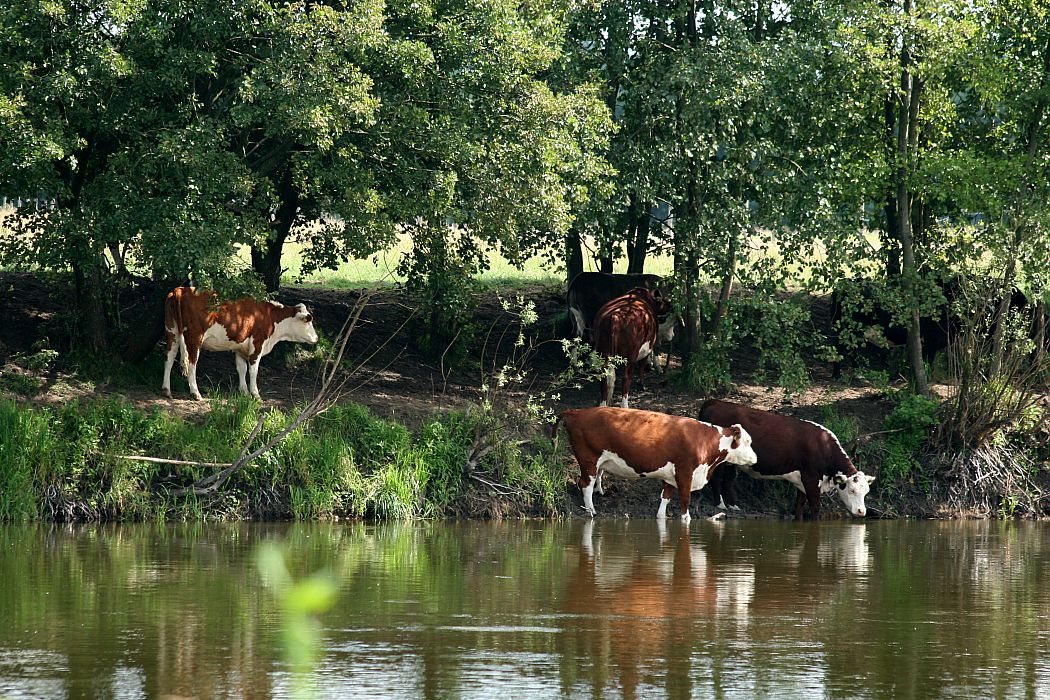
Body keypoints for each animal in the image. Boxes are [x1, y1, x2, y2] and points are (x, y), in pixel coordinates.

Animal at [161, 287, 319, 401]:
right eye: (308, 320)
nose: (316, 338)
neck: (270, 316)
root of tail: (181, 289)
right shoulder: (257, 344)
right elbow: (253, 370)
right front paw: (255, 394)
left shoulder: (240, 347)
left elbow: (241, 369)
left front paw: (243, 391)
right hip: (194, 337)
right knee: (192, 363)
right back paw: (195, 393)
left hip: (172, 332)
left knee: (169, 358)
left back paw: (166, 390)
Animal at [553, 406, 758, 522]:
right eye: (748, 442)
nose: (756, 459)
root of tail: (578, 412)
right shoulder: (685, 474)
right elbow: (685, 504)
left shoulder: (671, 476)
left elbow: (665, 498)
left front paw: (661, 517)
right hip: (589, 459)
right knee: (585, 484)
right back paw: (591, 511)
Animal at [698, 399, 874, 520]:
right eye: (852, 490)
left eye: (866, 492)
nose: (862, 511)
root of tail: (715, 402)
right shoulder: (811, 479)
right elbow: (815, 507)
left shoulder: (802, 480)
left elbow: (799, 506)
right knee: (717, 478)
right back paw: (720, 504)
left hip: (731, 461)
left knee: (728, 479)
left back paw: (733, 506)